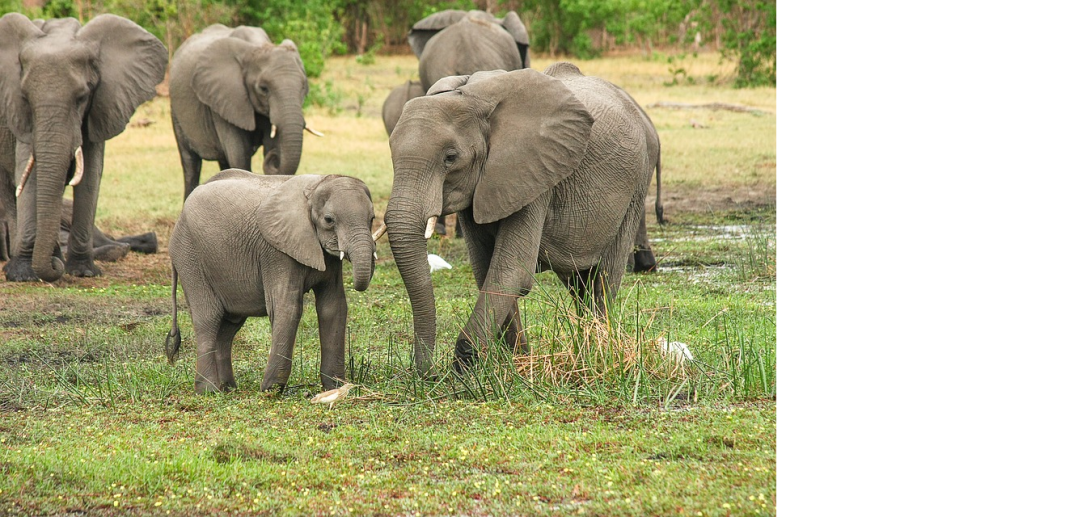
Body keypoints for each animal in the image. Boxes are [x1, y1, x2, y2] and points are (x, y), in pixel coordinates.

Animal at [0, 13, 167, 282]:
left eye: (81, 98)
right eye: (25, 98)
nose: (54, 268)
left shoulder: (101, 105)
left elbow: (90, 175)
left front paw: (83, 272)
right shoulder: (19, 115)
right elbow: (29, 173)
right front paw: (22, 275)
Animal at [165, 169, 378, 394]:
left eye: (372, 218)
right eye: (329, 220)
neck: (315, 186)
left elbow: (333, 307)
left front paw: (335, 387)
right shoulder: (276, 252)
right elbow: (288, 307)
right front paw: (271, 390)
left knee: (229, 326)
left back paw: (228, 388)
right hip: (189, 257)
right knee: (208, 318)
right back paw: (209, 391)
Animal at [169, 24, 318, 200]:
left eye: (303, 87)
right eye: (263, 89)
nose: (274, 157)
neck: (257, 47)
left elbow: (269, 144)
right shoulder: (225, 98)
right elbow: (239, 155)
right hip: (176, 111)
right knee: (191, 164)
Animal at [385, 63, 660, 375]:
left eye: (450, 158)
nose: (429, 374)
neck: (472, 98)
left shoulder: (535, 174)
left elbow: (511, 271)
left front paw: (465, 368)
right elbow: (486, 269)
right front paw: (516, 362)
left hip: (637, 184)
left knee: (604, 276)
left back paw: (599, 351)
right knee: (579, 283)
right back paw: (586, 347)